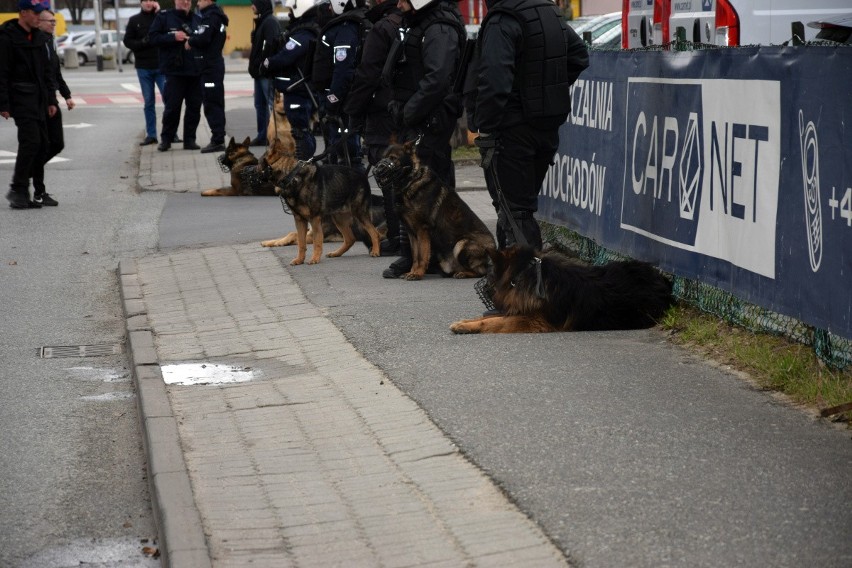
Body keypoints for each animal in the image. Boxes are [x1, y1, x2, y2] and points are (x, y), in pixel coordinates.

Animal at [376, 138, 496, 280]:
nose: (377, 170)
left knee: (481, 272)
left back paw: (463, 273)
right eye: (382, 158)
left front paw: (417, 273)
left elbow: (421, 255)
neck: (410, 182)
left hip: (461, 244)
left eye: (393, 158)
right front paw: (412, 271)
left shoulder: (422, 230)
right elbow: (415, 256)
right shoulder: (411, 232)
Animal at [450, 245, 676, 332]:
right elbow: (490, 317)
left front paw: (469, 326)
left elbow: (495, 321)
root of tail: (664, 280)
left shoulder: (533, 320)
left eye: (488, 274)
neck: (525, 275)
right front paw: (465, 322)